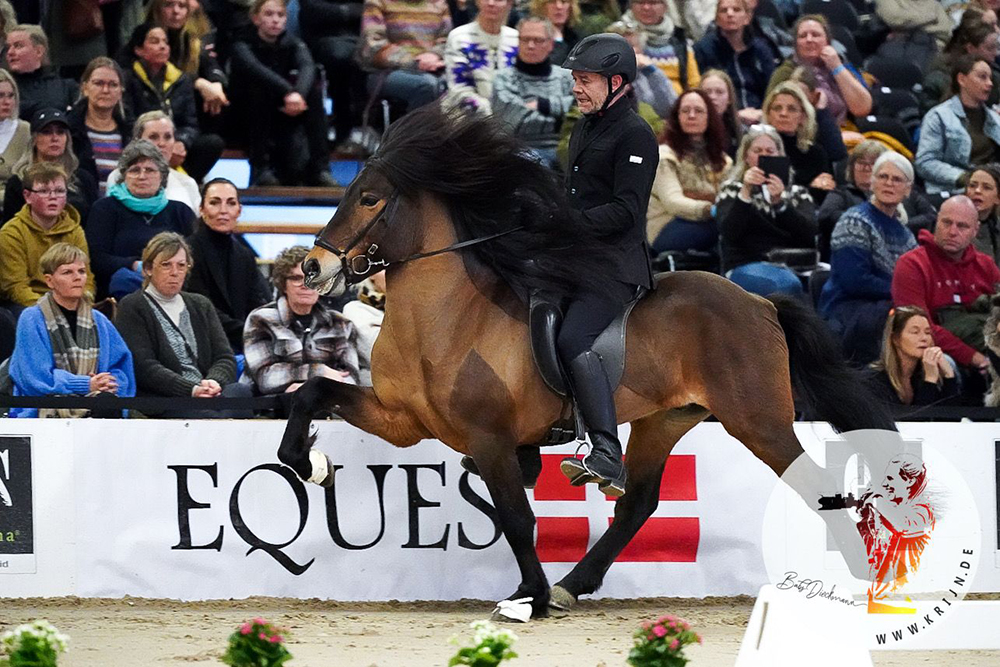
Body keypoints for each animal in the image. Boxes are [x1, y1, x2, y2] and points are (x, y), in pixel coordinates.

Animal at [278, 104, 896, 620]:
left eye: (370, 199)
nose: (311, 268)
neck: (442, 320)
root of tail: (760, 300)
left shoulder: (489, 438)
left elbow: (517, 518)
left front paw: (527, 598)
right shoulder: (403, 421)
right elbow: (312, 394)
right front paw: (310, 464)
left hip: (757, 419)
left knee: (814, 482)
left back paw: (864, 581)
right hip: (665, 419)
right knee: (639, 502)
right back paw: (572, 584)